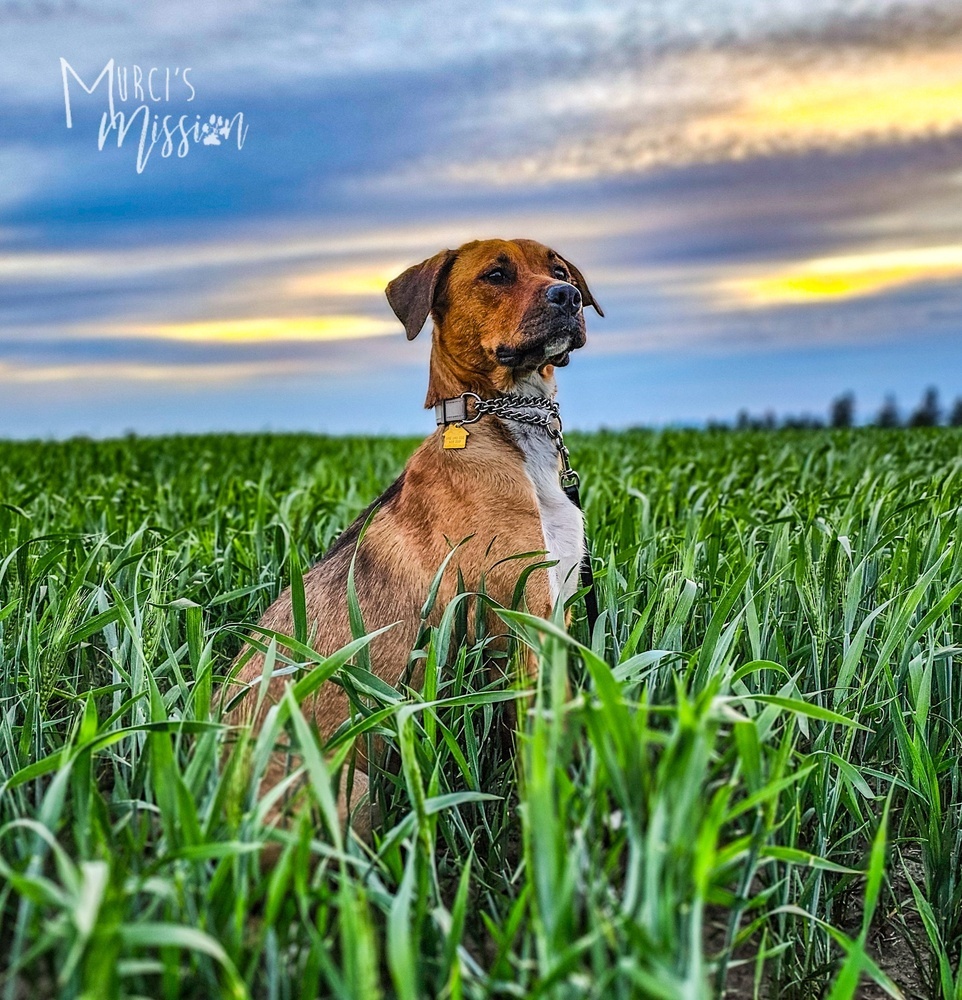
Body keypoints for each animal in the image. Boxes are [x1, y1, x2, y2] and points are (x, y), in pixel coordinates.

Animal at [225, 238, 600, 840]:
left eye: (559, 269)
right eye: (496, 275)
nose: (567, 296)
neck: (502, 426)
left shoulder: (558, 610)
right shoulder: (526, 622)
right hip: (351, 791)